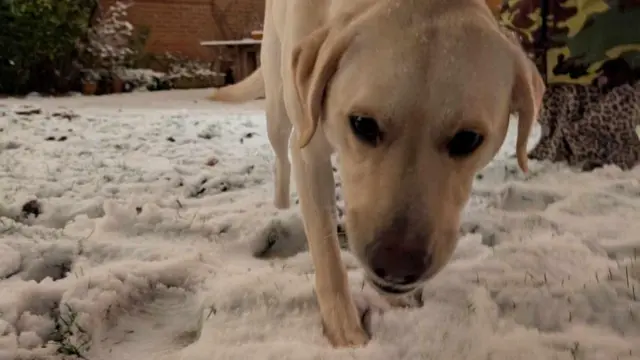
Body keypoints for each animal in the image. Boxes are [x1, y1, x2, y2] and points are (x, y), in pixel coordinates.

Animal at [212, 0, 544, 348]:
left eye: (468, 139)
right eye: (362, 124)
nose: (397, 266)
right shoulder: (309, 154)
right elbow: (327, 254)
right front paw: (343, 329)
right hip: (277, 106)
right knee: (281, 154)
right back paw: (280, 204)